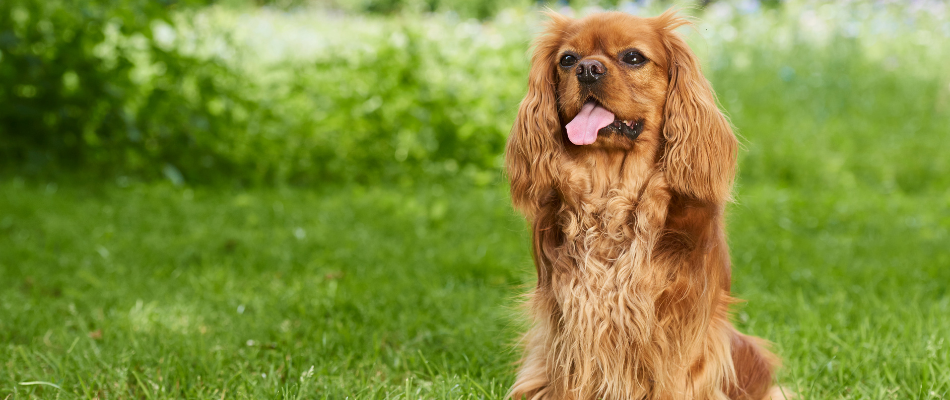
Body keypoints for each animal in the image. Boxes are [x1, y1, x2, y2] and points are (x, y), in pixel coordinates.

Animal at [502, 9, 784, 400]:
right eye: (567, 59)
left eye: (633, 57)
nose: (587, 69)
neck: (612, 194)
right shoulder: (570, 316)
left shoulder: (677, 323)